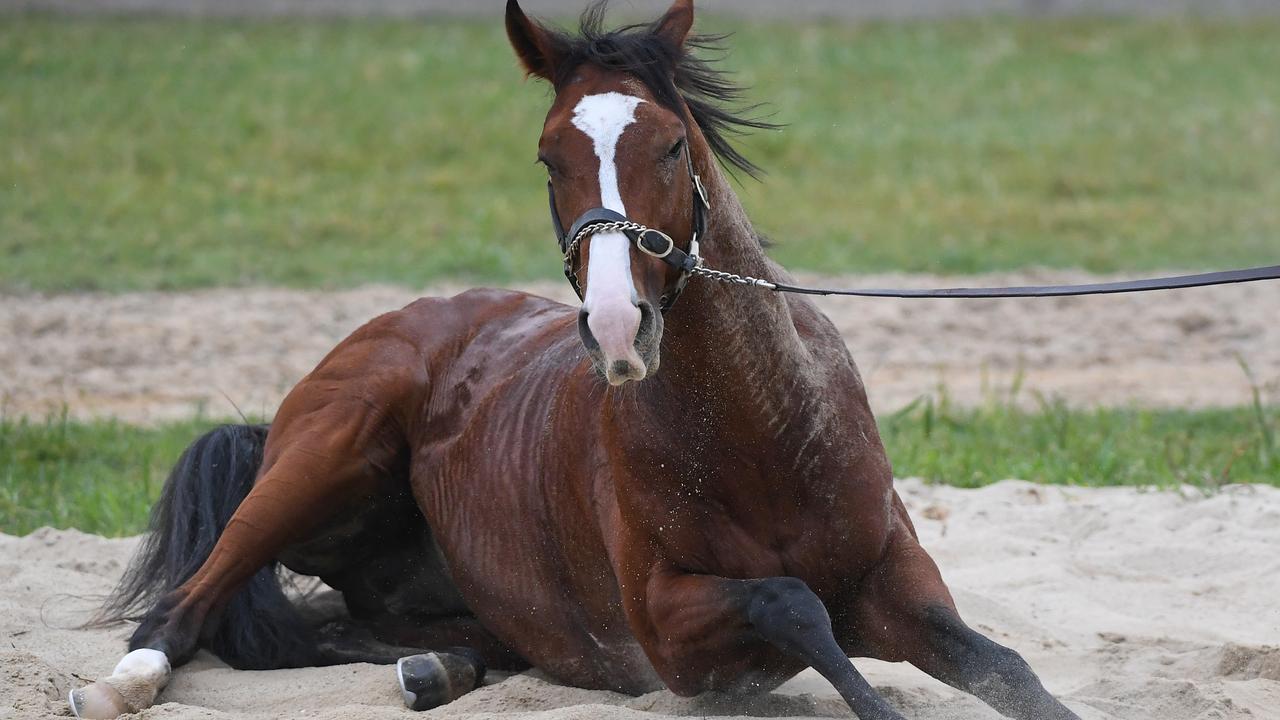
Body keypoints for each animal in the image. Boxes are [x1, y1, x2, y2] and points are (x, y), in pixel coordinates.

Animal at [70, 2, 1080, 712]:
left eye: (671, 146)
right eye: (547, 157)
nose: (617, 326)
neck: (761, 434)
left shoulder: (894, 585)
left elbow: (1011, 672)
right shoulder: (670, 632)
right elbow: (795, 603)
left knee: (338, 626)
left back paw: (433, 669)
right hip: (322, 456)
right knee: (188, 605)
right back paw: (120, 686)